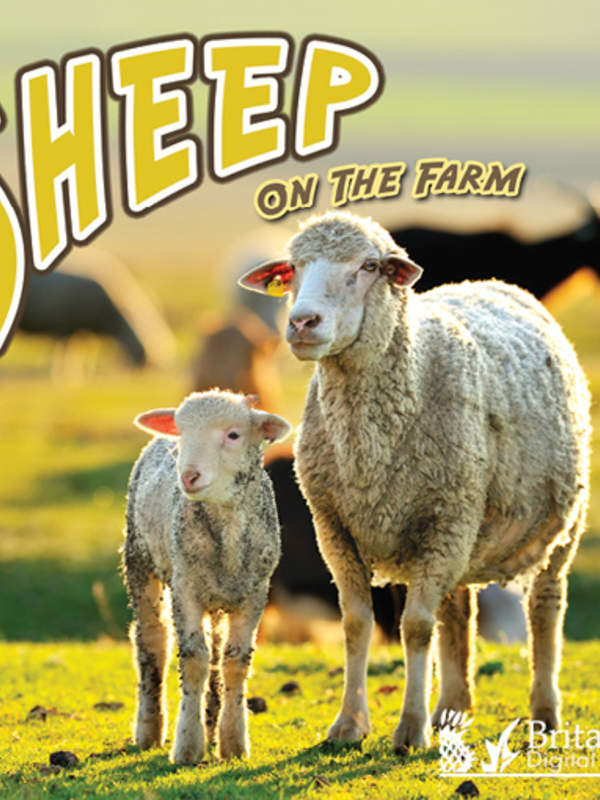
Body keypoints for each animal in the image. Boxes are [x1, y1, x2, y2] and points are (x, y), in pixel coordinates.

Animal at [124, 389, 290, 763]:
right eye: (183, 433)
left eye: (233, 435)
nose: (188, 476)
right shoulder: (185, 588)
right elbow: (194, 659)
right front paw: (188, 744)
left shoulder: (255, 593)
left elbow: (235, 661)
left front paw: (233, 742)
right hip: (139, 557)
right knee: (152, 640)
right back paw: (149, 728)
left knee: (216, 651)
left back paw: (212, 725)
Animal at [240, 210, 590, 753]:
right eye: (292, 268)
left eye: (368, 266)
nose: (301, 323)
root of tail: (493, 282)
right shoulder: (335, 528)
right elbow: (358, 624)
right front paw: (348, 725)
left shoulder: (444, 517)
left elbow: (417, 628)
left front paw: (409, 729)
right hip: (463, 529)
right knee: (459, 610)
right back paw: (452, 709)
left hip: (553, 525)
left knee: (546, 606)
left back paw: (544, 713)